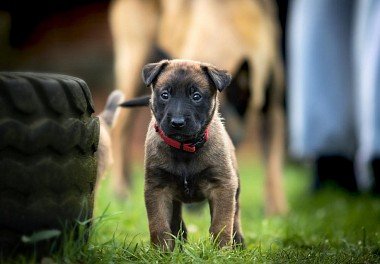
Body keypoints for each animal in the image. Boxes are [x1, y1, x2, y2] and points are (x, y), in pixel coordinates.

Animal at [110, 0, 288, 214]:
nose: (191, 205)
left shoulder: (273, 109)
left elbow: (272, 165)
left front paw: (276, 209)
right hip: (134, 62)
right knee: (120, 129)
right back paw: (121, 188)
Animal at [119, 59, 243, 250]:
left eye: (196, 96)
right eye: (165, 95)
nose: (177, 123)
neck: (185, 149)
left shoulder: (222, 186)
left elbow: (221, 224)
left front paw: (220, 251)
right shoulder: (158, 189)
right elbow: (159, 225)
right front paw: (161, 252)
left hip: (234, 190)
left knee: (235, 219)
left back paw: (238, 243)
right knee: (176, 221)